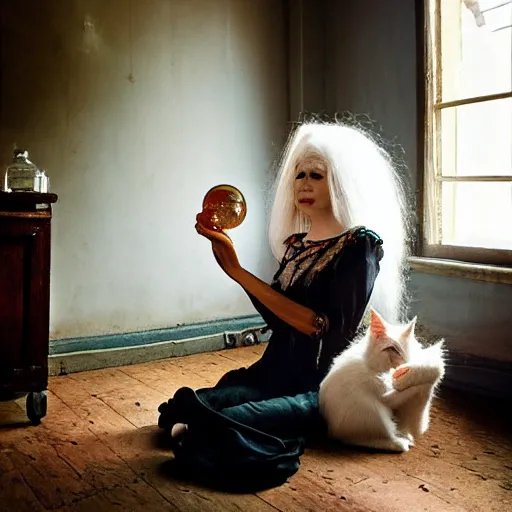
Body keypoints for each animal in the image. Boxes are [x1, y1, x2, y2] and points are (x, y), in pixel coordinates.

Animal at [320, 308, 444, 452]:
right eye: (393, 349)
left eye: (410, 351)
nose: (405, 362)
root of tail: (330, 429)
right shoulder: (385, 397)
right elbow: (416, 387)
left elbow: (435, 369)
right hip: (374, 412)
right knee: (357, 439)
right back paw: (401, 443)